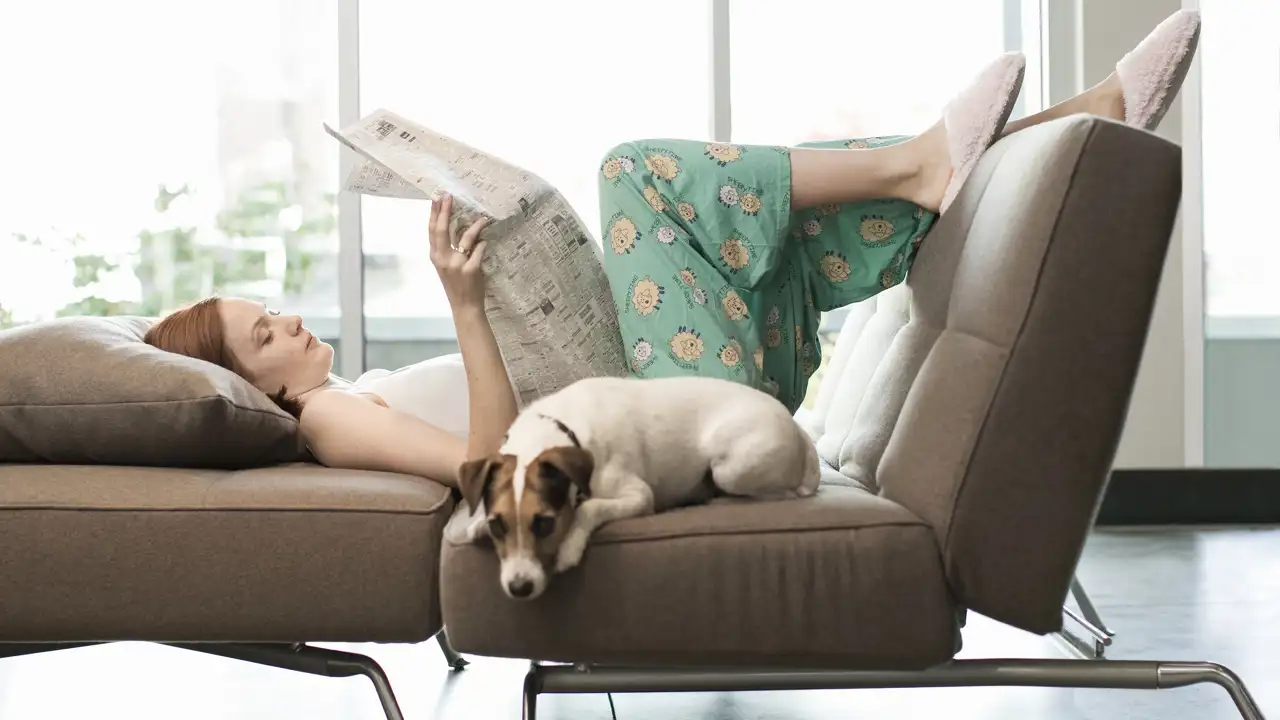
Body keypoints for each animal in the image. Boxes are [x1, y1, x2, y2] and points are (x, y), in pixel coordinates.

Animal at [460, 376, 819, 599]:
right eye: (498, 526)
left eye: (545, 523)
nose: (518, 588)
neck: (565, 429)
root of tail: (799, 432)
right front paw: (476, 525)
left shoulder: (638, 495)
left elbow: (589, 507)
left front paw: (570, 547)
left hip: (729, 467)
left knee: (777, 494)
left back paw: (718, 500)